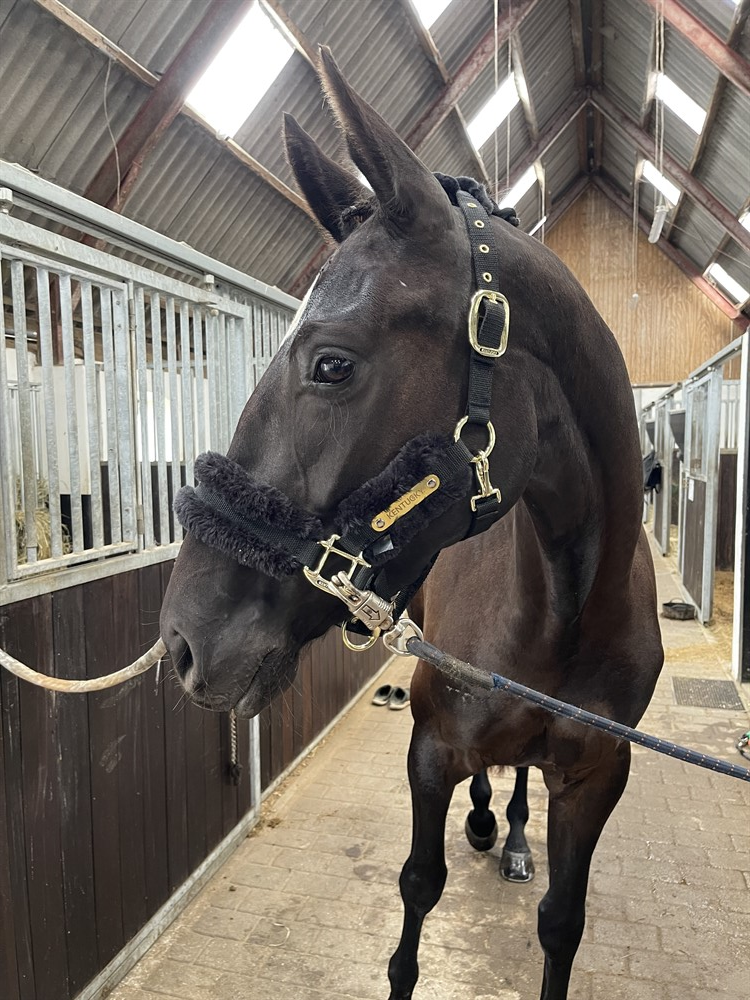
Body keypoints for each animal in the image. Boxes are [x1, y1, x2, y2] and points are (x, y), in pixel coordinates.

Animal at [160, 48, 664, 1000]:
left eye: (331, 363)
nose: (182, 642)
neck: (569, 608)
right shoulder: (429, 753)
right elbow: (417, 896)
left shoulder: (596, 779)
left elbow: (561, 925)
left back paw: (508, 836)